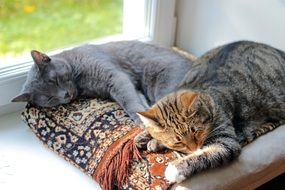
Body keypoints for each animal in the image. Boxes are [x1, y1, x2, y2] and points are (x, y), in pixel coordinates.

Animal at [12, 40, 192, 122]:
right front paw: (146, 112)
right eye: (50, 99)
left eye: (55, 80)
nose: (65, 95)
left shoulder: (116, 77)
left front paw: (141, 119)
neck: (80, 80)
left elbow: (129, 101)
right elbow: (136, 98)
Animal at [134, 40, 284, 183]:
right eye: (178, 142)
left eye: (196, 131)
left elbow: (204, 155)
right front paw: (146, 137)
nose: (194, 148)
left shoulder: (225, 141)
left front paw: (175, 168)